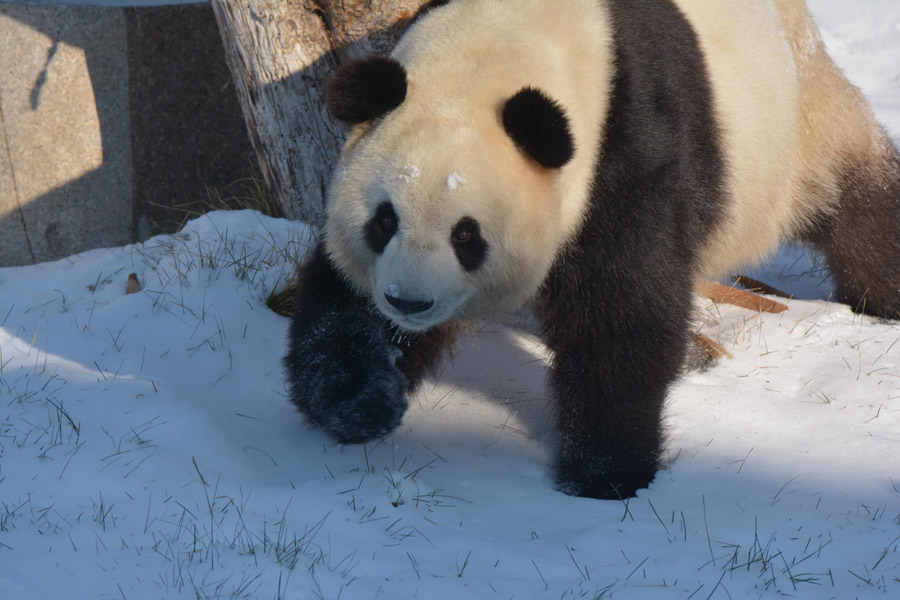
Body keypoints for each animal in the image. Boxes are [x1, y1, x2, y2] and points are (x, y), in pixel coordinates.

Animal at [284, 0, 900, 500]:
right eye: (384, 220)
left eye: (467, 235)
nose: (409, 304)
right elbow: (342, 298)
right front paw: (362, 403)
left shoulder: (627, 147)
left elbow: (620, 311)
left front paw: (603, 472)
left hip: (797, 126)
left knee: (861, 204)